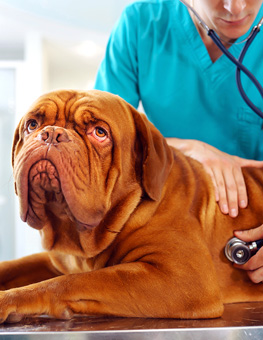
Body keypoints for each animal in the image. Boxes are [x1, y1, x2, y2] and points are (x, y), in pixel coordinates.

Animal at [0, 89, 263, 322]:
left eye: (100, 132)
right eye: (32, 125)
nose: (52, 133)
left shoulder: (182, 277)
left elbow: (71, 282)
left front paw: (8, 300)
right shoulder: (55, 260)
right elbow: (15, 265)